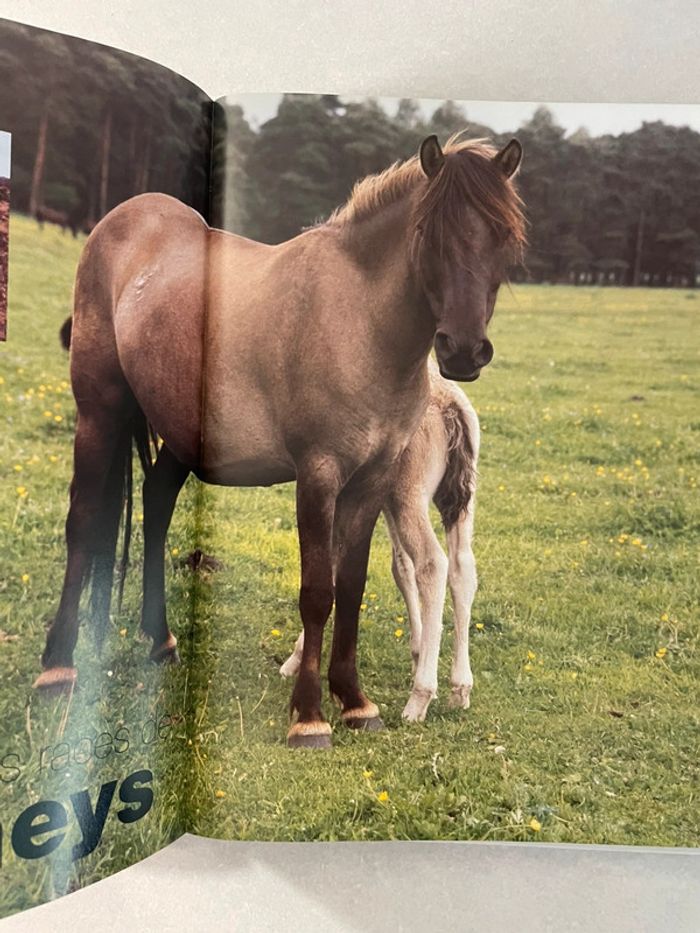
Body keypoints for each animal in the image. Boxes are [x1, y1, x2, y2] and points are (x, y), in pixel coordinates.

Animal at [280, 359, 480, 723]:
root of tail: (449, 404)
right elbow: (398, 566)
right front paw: (417, 650)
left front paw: (296, 660)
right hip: (460, 499)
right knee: (462, 567)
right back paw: (460, 688)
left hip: (407, 494)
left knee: (433, 562)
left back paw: (420, 698)